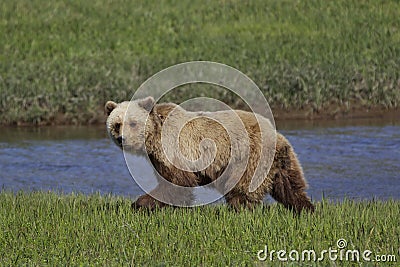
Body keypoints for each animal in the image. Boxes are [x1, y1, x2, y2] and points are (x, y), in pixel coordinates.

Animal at [106, 96, 316, 214]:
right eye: (116, 124)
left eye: (133, 123)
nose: (122, 139)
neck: (154, 138)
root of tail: (275, 133)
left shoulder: (176, 150)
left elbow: (176, 183)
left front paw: (141, 203)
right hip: (281, 161)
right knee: (290, 186)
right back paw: (306, 209)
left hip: (248, 156)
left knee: (242, 189)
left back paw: (239, 211)